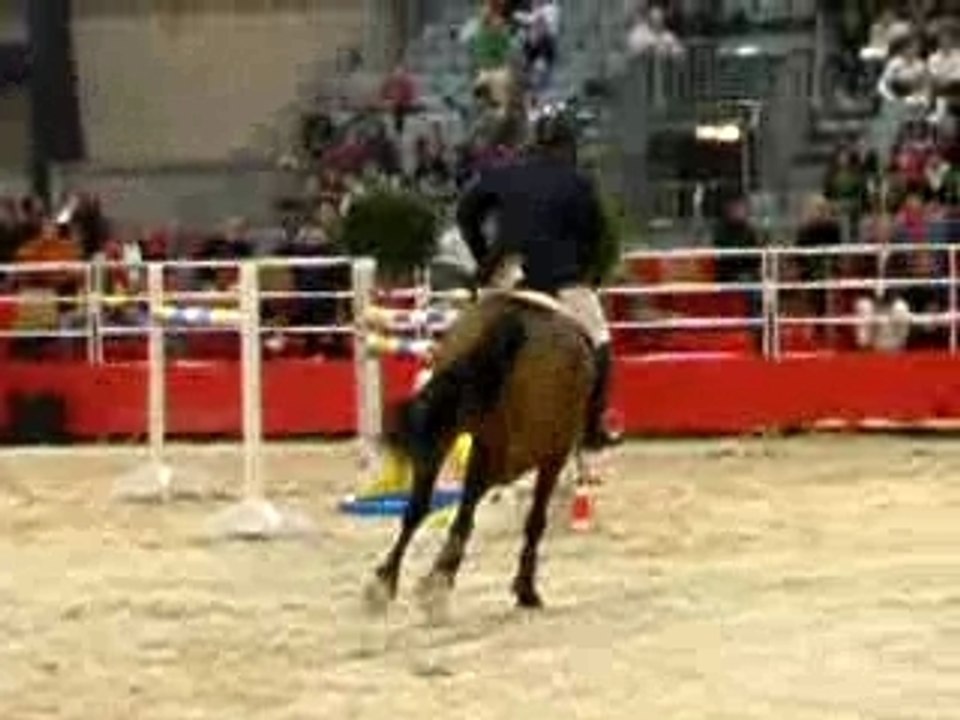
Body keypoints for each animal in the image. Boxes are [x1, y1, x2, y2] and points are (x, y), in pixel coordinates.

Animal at [364, 289, 596, 618]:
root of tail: (517, 319)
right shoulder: (550, 456)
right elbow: (534, 521)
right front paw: (525, 589)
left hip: (449, 434)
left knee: (419, 506)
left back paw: (386, 582)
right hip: (516, 451)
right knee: (470, 503)